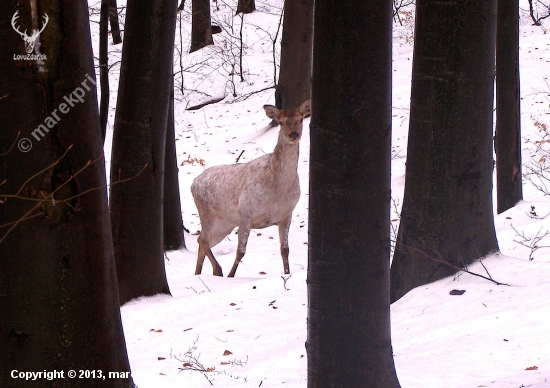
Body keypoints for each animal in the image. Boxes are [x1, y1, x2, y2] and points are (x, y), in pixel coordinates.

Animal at [191, 100, 310, 276]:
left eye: (301, 119)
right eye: (281, 122)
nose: (293, 134)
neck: (278, 191)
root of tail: (193, 183)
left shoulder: (287, 214)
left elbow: (285, 250)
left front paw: (287, 273)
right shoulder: (245, 212)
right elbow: (240, 252)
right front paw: (231, 276)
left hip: (225, 224)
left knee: (202, 242)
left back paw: (199, 273)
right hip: (206, 212)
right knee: (202, 239)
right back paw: (218, 271)